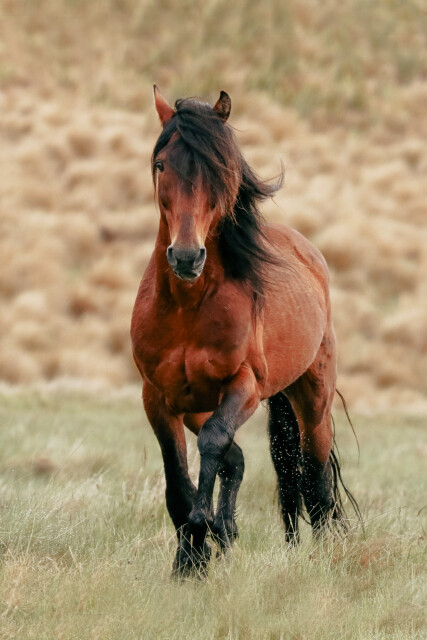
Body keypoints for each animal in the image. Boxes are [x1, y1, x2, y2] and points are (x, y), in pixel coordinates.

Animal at [131, 86, 359, 577]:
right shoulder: (158, 397)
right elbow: (178, 479)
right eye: (161, 165)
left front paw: (202, 529)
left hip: (312, 403)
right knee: (241, 460)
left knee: (313, 479)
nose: (186, 257)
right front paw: (191, 559)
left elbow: (215, 442)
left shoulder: (246, 386)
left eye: (218, 169)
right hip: (197, 403)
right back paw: (228, 531)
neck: (187, 307)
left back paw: (321, 555)